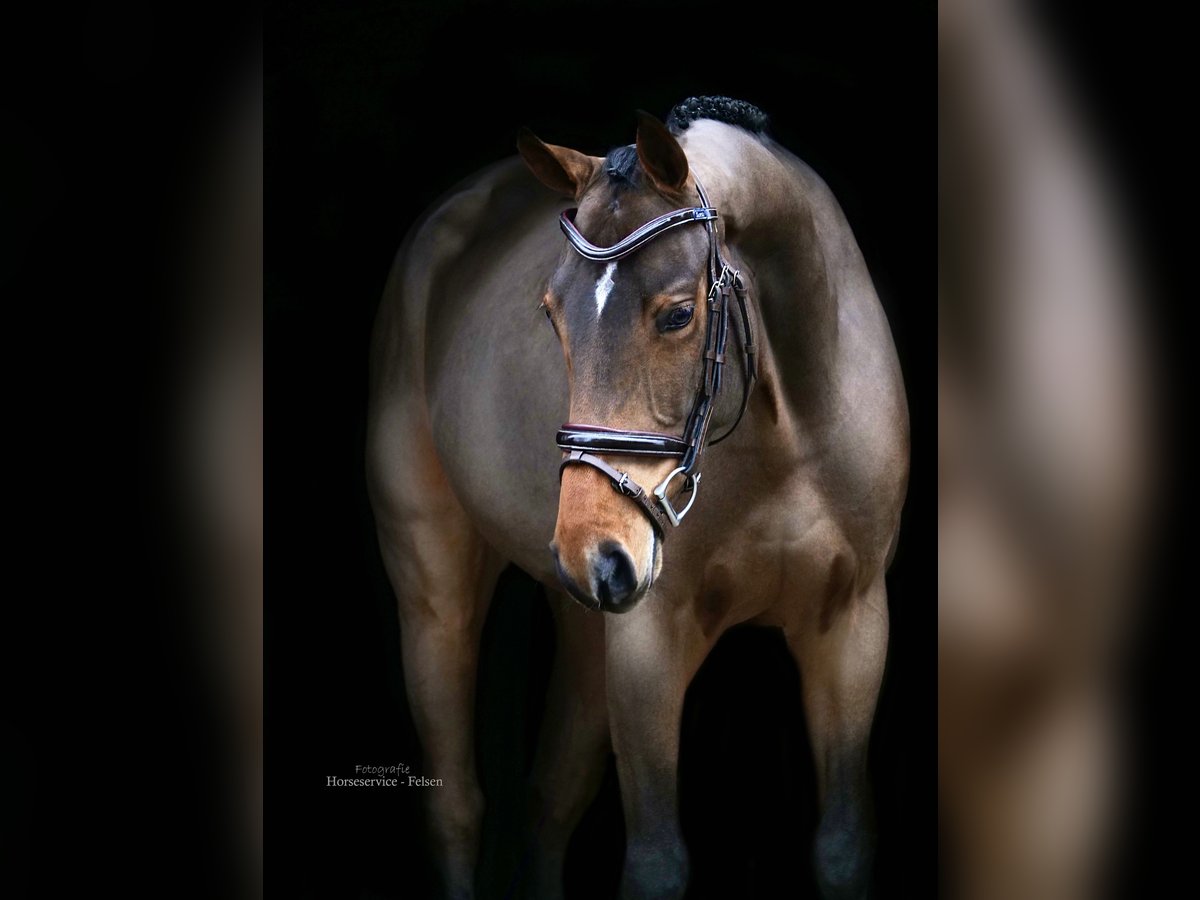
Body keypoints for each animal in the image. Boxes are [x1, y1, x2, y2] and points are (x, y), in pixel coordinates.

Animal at [364, 98, 907, 900]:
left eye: (678, 314)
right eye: (551, 313)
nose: (593, 552)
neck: (789, 436)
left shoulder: (851, 626)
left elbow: (843, 846)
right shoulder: (651, 639)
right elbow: (655, 860)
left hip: (585, 624)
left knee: (551, 796)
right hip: (437, 594)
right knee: (457, 808)